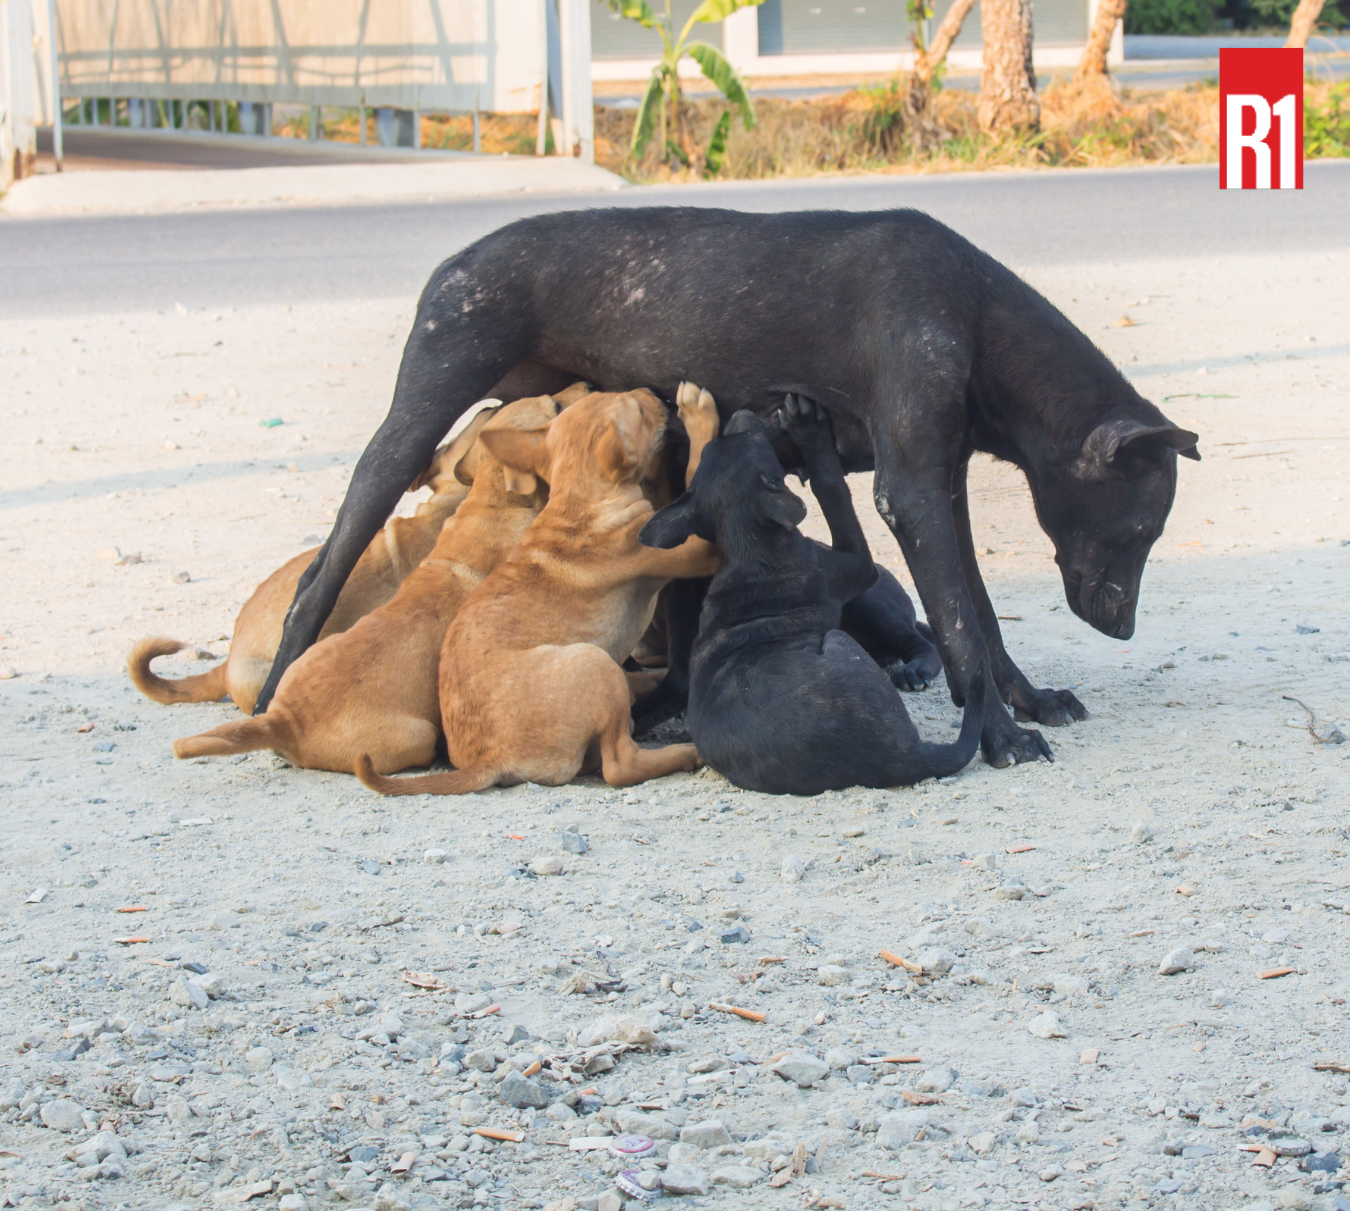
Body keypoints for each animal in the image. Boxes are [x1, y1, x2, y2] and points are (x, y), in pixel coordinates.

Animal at [356, 386, 721, 796]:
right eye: (640, 411)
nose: (651, 392)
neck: (577, 503)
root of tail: (487, 761)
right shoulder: (694, 550)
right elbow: (694, 474)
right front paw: (699, 416)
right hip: (595, 663)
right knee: (619, 764)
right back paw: (687, 753)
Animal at [641, 395, 984, 795]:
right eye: (750, 442)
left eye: (717, 445)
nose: (740, 414)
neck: (746, 548)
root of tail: (905, 757)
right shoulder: (851, 566)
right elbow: (831, 487)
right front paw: (811, 431)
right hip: (843, 634)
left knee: (918, 639)